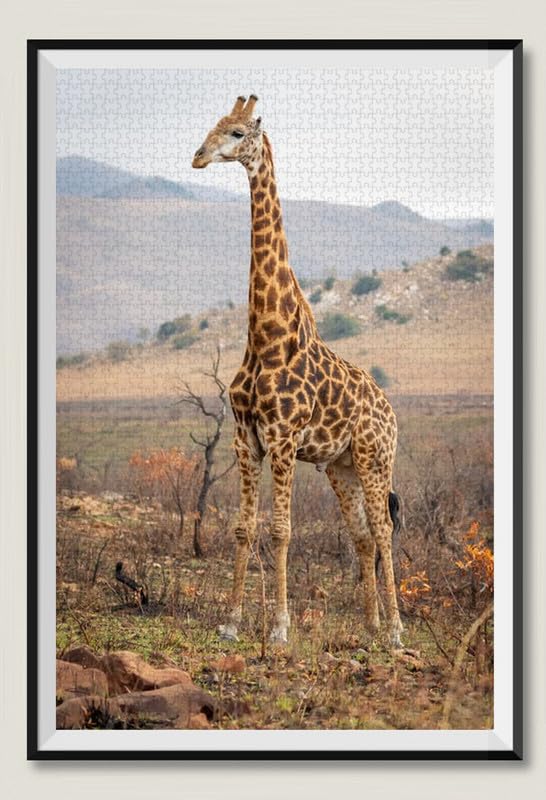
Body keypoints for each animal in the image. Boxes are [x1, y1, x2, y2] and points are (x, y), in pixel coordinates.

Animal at [192, 95, 403, 647]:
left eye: (238, 131)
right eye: (213, 125)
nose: (198, 157)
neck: (266, 336)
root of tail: (392, 412)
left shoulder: (284, 438)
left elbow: (281, 530)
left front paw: (280, 628)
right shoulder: (245, 439)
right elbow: (244, 528)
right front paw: (230, 622)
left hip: (376, 459)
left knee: (383, 530)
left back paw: (397, 631)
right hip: (340, 467)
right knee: (362, 536)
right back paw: (372, 625)